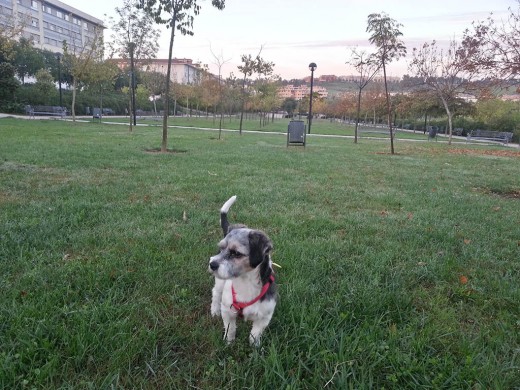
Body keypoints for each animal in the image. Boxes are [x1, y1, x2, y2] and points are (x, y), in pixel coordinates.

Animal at [209, 197, 278, 346]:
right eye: (221, 249)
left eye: (236, 253)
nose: (212, 264)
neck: (245, 282)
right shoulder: (227, 311)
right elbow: (230, 329)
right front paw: (229, 343)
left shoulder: (264, 317)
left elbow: (255, 335)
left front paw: (254, 348)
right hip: (220, 283)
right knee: (216, 293)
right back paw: (214, 310)